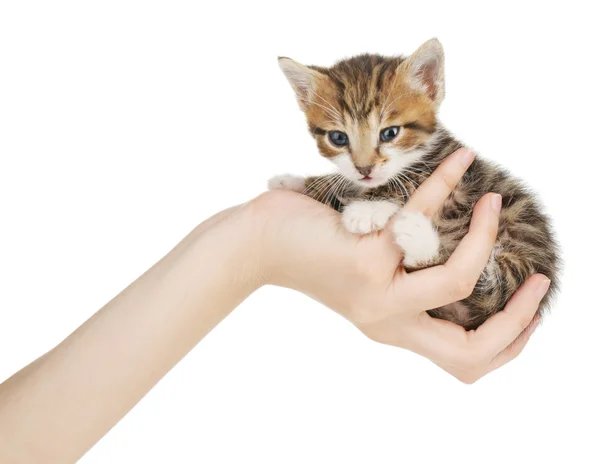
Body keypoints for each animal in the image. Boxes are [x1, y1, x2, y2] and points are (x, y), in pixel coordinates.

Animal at [270, 40, 560, 330]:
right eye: (338, 138)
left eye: (390, 133)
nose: (364, 169)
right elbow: (344, 182)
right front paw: (295, 182)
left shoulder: (450, 165)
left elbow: (408, 181)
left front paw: (366, 209)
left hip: (521, 242)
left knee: (490, 292)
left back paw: (419, 238)